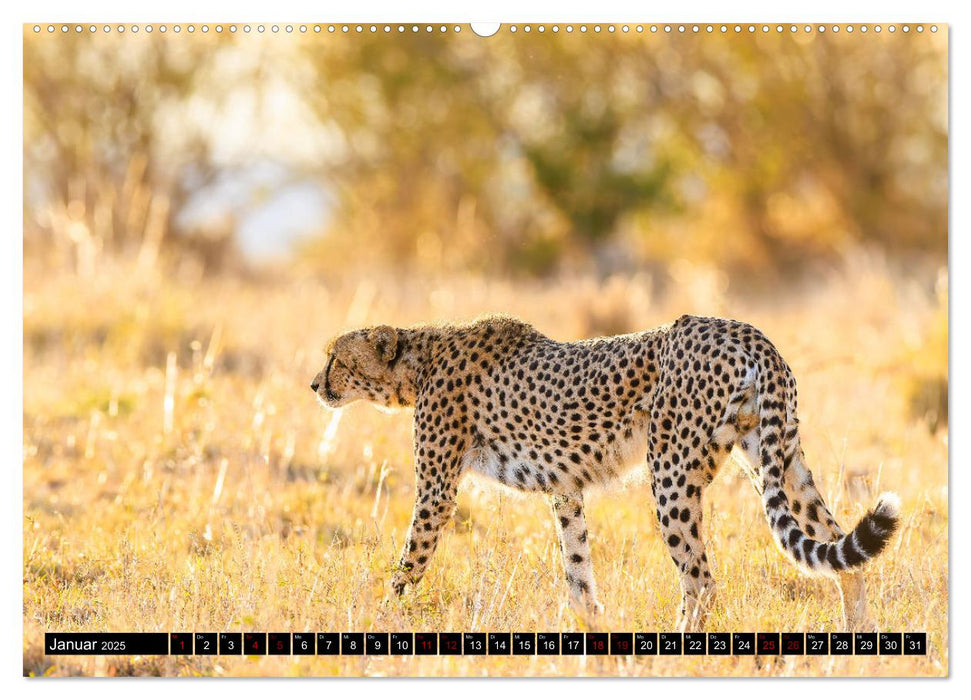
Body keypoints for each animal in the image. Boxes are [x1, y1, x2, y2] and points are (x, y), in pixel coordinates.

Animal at [312, 314, 904, 632]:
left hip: (671, 472)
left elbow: (409, 562)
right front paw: (593, 629)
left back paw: (675, 652)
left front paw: (380, 618)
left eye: (336, 359)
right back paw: (857, 640)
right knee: (841, 552)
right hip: (776, 458)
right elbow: (577, 570)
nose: (315, 385)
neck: (419, 362)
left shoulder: (436, 491)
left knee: (700, 579)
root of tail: (744, 330)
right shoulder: (565, 490)